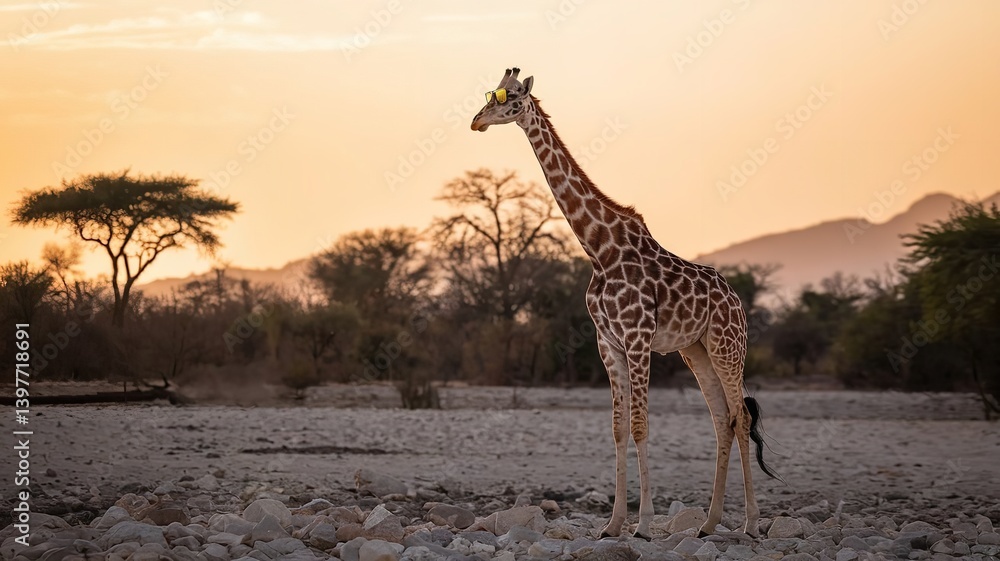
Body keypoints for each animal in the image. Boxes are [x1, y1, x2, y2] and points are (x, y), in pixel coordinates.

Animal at [471, 68, 778, 539]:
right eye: (490, 94)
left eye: (511, 98)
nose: (477, 121)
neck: (599, 248)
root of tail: (737, 301)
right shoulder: (608, 343)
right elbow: (617, 429)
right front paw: (613, 524)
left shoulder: (637, 339)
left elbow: (639, 426)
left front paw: (644, 524)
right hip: (696, 350)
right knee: (721, 420)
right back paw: (709, 523)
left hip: (728, 345)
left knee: (740, 417)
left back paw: (750, 523)